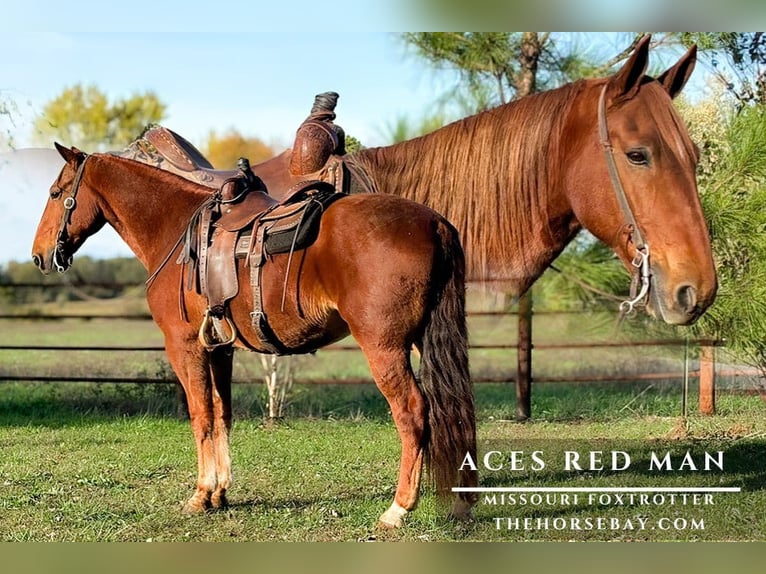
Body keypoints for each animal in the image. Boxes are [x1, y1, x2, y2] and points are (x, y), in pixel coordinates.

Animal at [30, 147, 478, 529]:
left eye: (55, 193)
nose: (39, 255)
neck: (174, 231)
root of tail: (434, 222)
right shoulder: (220, 349)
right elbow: (221, 413)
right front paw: (220, 493)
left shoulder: (185, 347)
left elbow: (200, 417)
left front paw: (200, 495)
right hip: (424, 340)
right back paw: (460, 502)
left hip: (385, 348)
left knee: (413, 412)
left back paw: (398, 509)